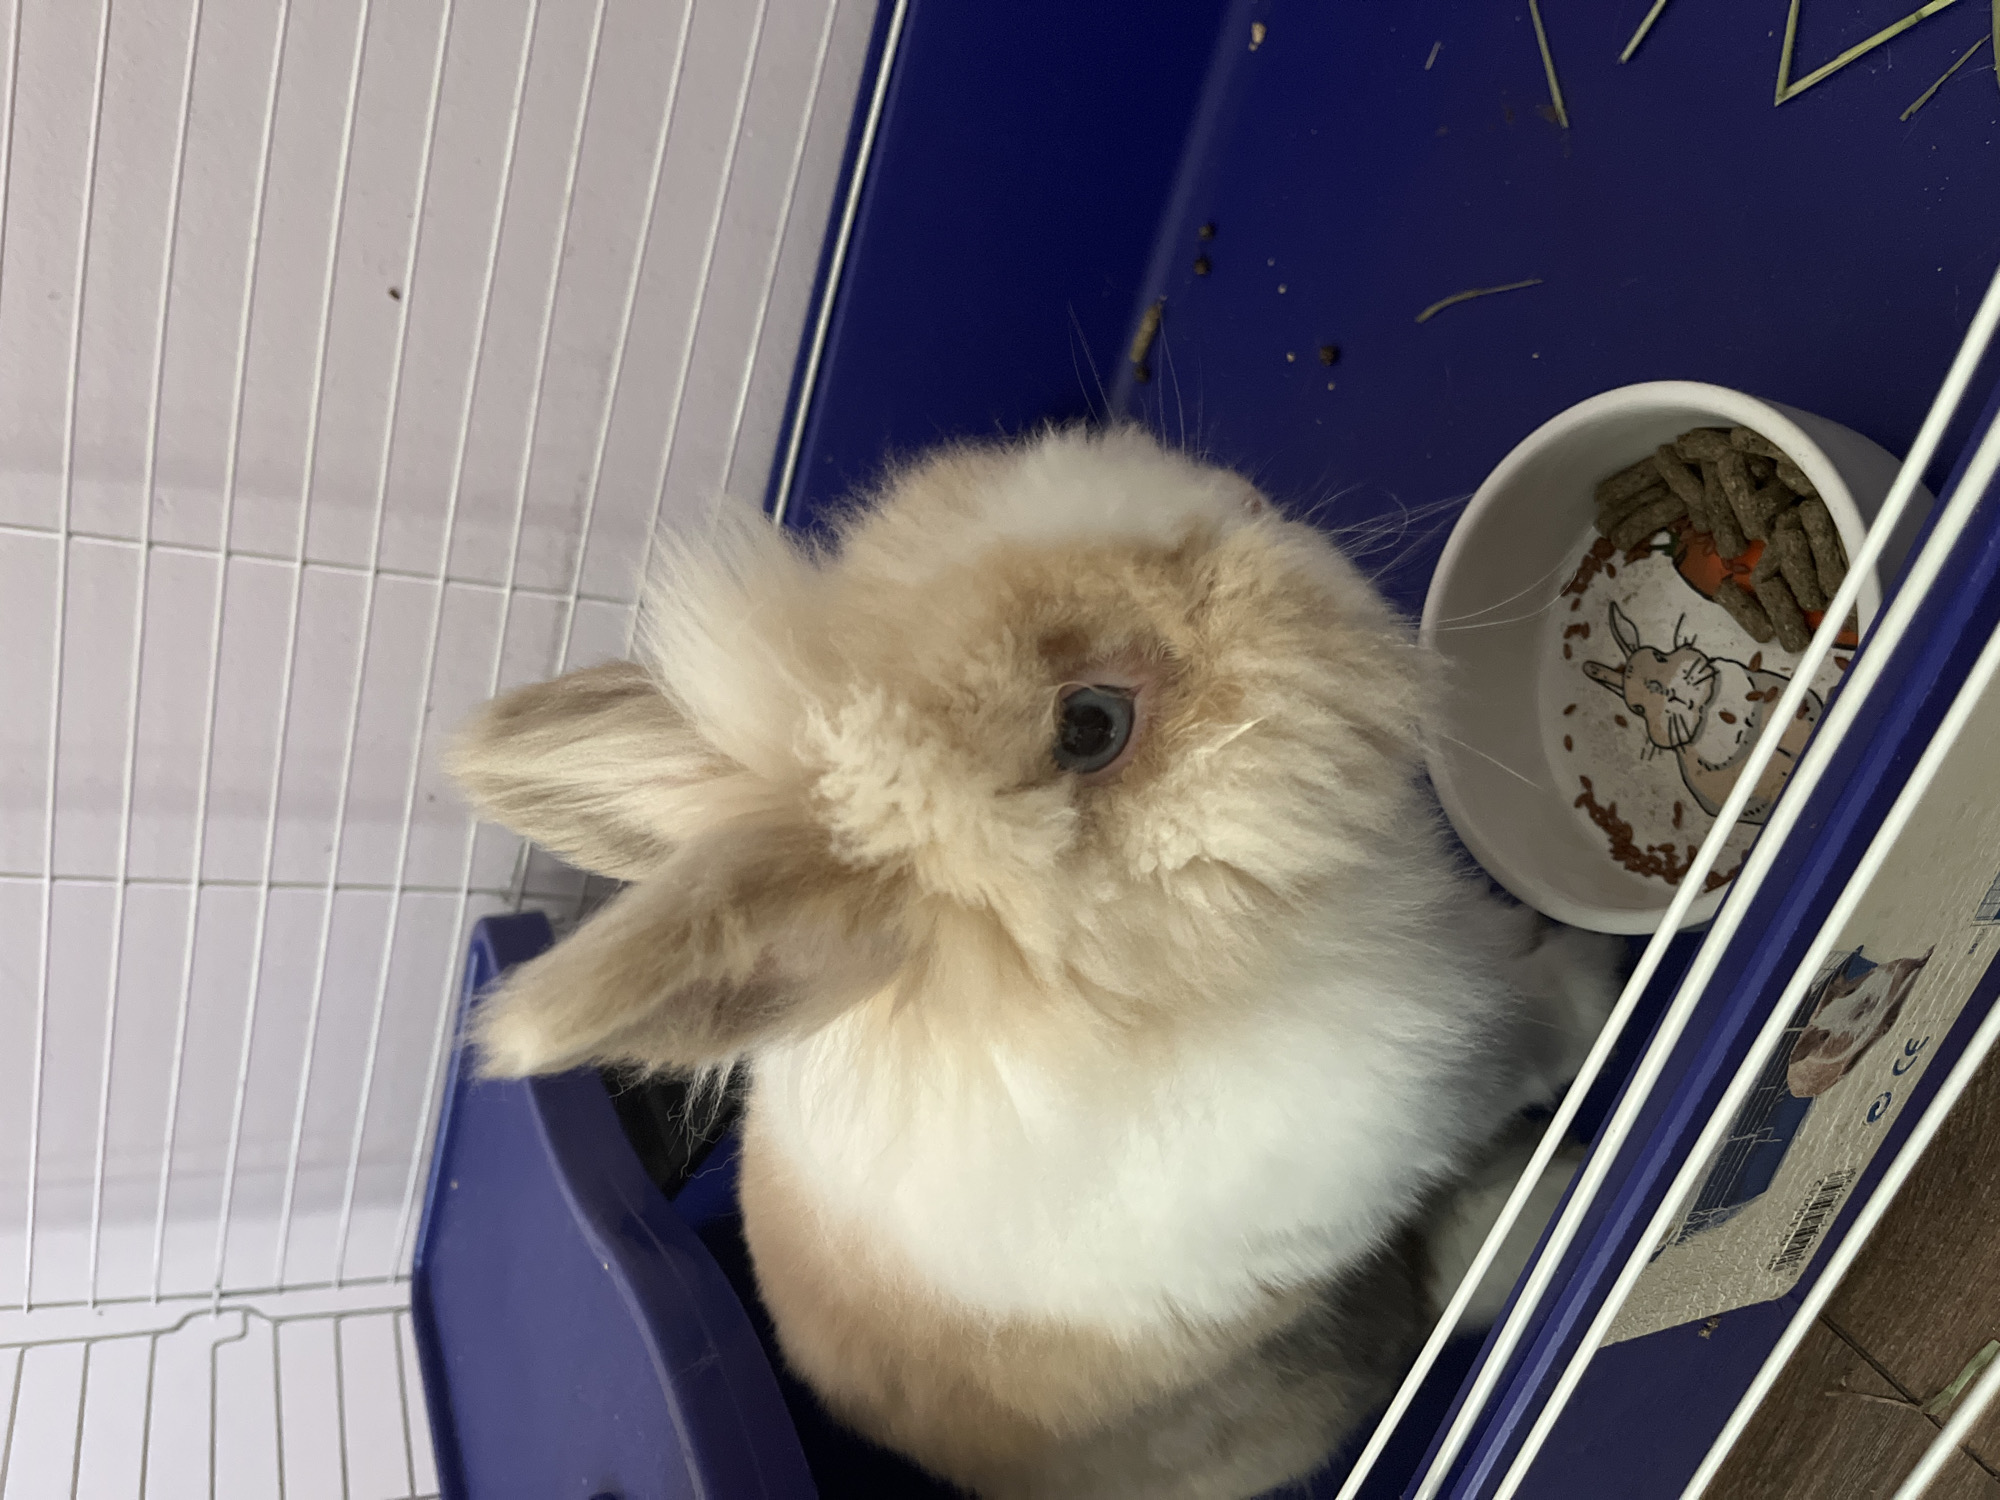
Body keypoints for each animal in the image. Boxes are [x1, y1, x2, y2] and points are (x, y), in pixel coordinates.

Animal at [446, 427, 1622, 1500]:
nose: (1247, 506)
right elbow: (1537, 1028)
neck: (1096, 985)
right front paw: (1598, 984)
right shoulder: (1449, 1074)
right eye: (1089, 725)